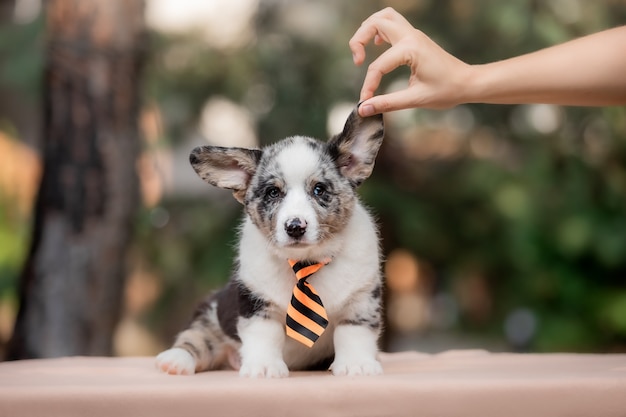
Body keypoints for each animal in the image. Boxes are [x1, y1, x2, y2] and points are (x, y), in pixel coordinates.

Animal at [154, 106, 382, 376]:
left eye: (319, 189)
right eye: (273, 192)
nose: (295, 227)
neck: (305, 262)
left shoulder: (361, 299)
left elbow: (353, 333)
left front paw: (357, 364)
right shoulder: (256, 304)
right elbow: (265, 336)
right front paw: (263, 367)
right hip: (211, 312)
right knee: (196, 339)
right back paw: (174, 361)